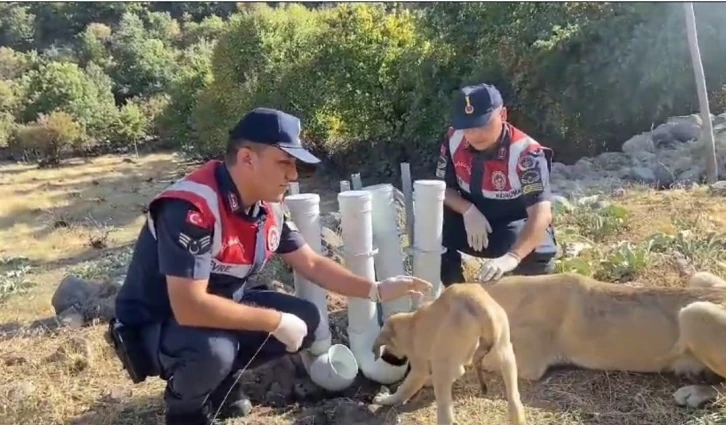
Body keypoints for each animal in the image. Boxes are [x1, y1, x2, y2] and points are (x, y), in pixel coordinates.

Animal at [372, 280, 528, 422]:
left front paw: (388, 399)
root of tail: (477, 304)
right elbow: (455, 372)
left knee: (445, 412)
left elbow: (406, 388)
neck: (410, 323)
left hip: (442, 365)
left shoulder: (419, 367)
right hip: (506, 353)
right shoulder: (453, 365)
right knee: (514, 399)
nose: (386, 357)